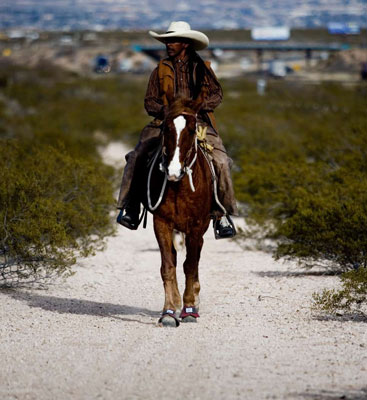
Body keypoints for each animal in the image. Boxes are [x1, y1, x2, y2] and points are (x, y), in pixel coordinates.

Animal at [144, 95, 213, 326]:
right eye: (166, 128)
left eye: (192, 130)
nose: (173, 171)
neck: (179, 185)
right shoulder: (161, 224)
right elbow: (168, 267)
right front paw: (168, 311)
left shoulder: (196, 227)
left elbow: (190, 266)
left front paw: (190, 308)